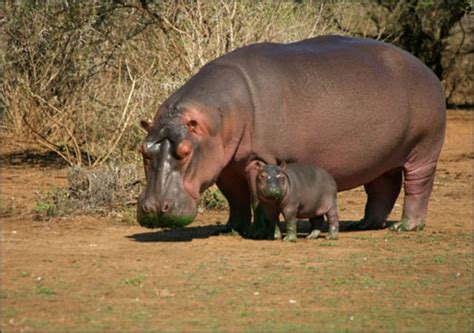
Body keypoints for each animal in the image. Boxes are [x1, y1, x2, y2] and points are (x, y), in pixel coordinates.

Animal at [136, 35, 444, 235]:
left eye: (185, 152)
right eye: (143, 150)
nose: (154, 209)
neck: (219, 117)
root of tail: (426, 69)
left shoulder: (259, 158)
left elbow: (256, 196)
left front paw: (258, 232)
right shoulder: (224, 166)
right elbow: (236, 198)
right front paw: (231, 229)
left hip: (423, 150)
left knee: (418, 186)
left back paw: (405, 227)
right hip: (382, 156)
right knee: (383, 187)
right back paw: (364, 224)